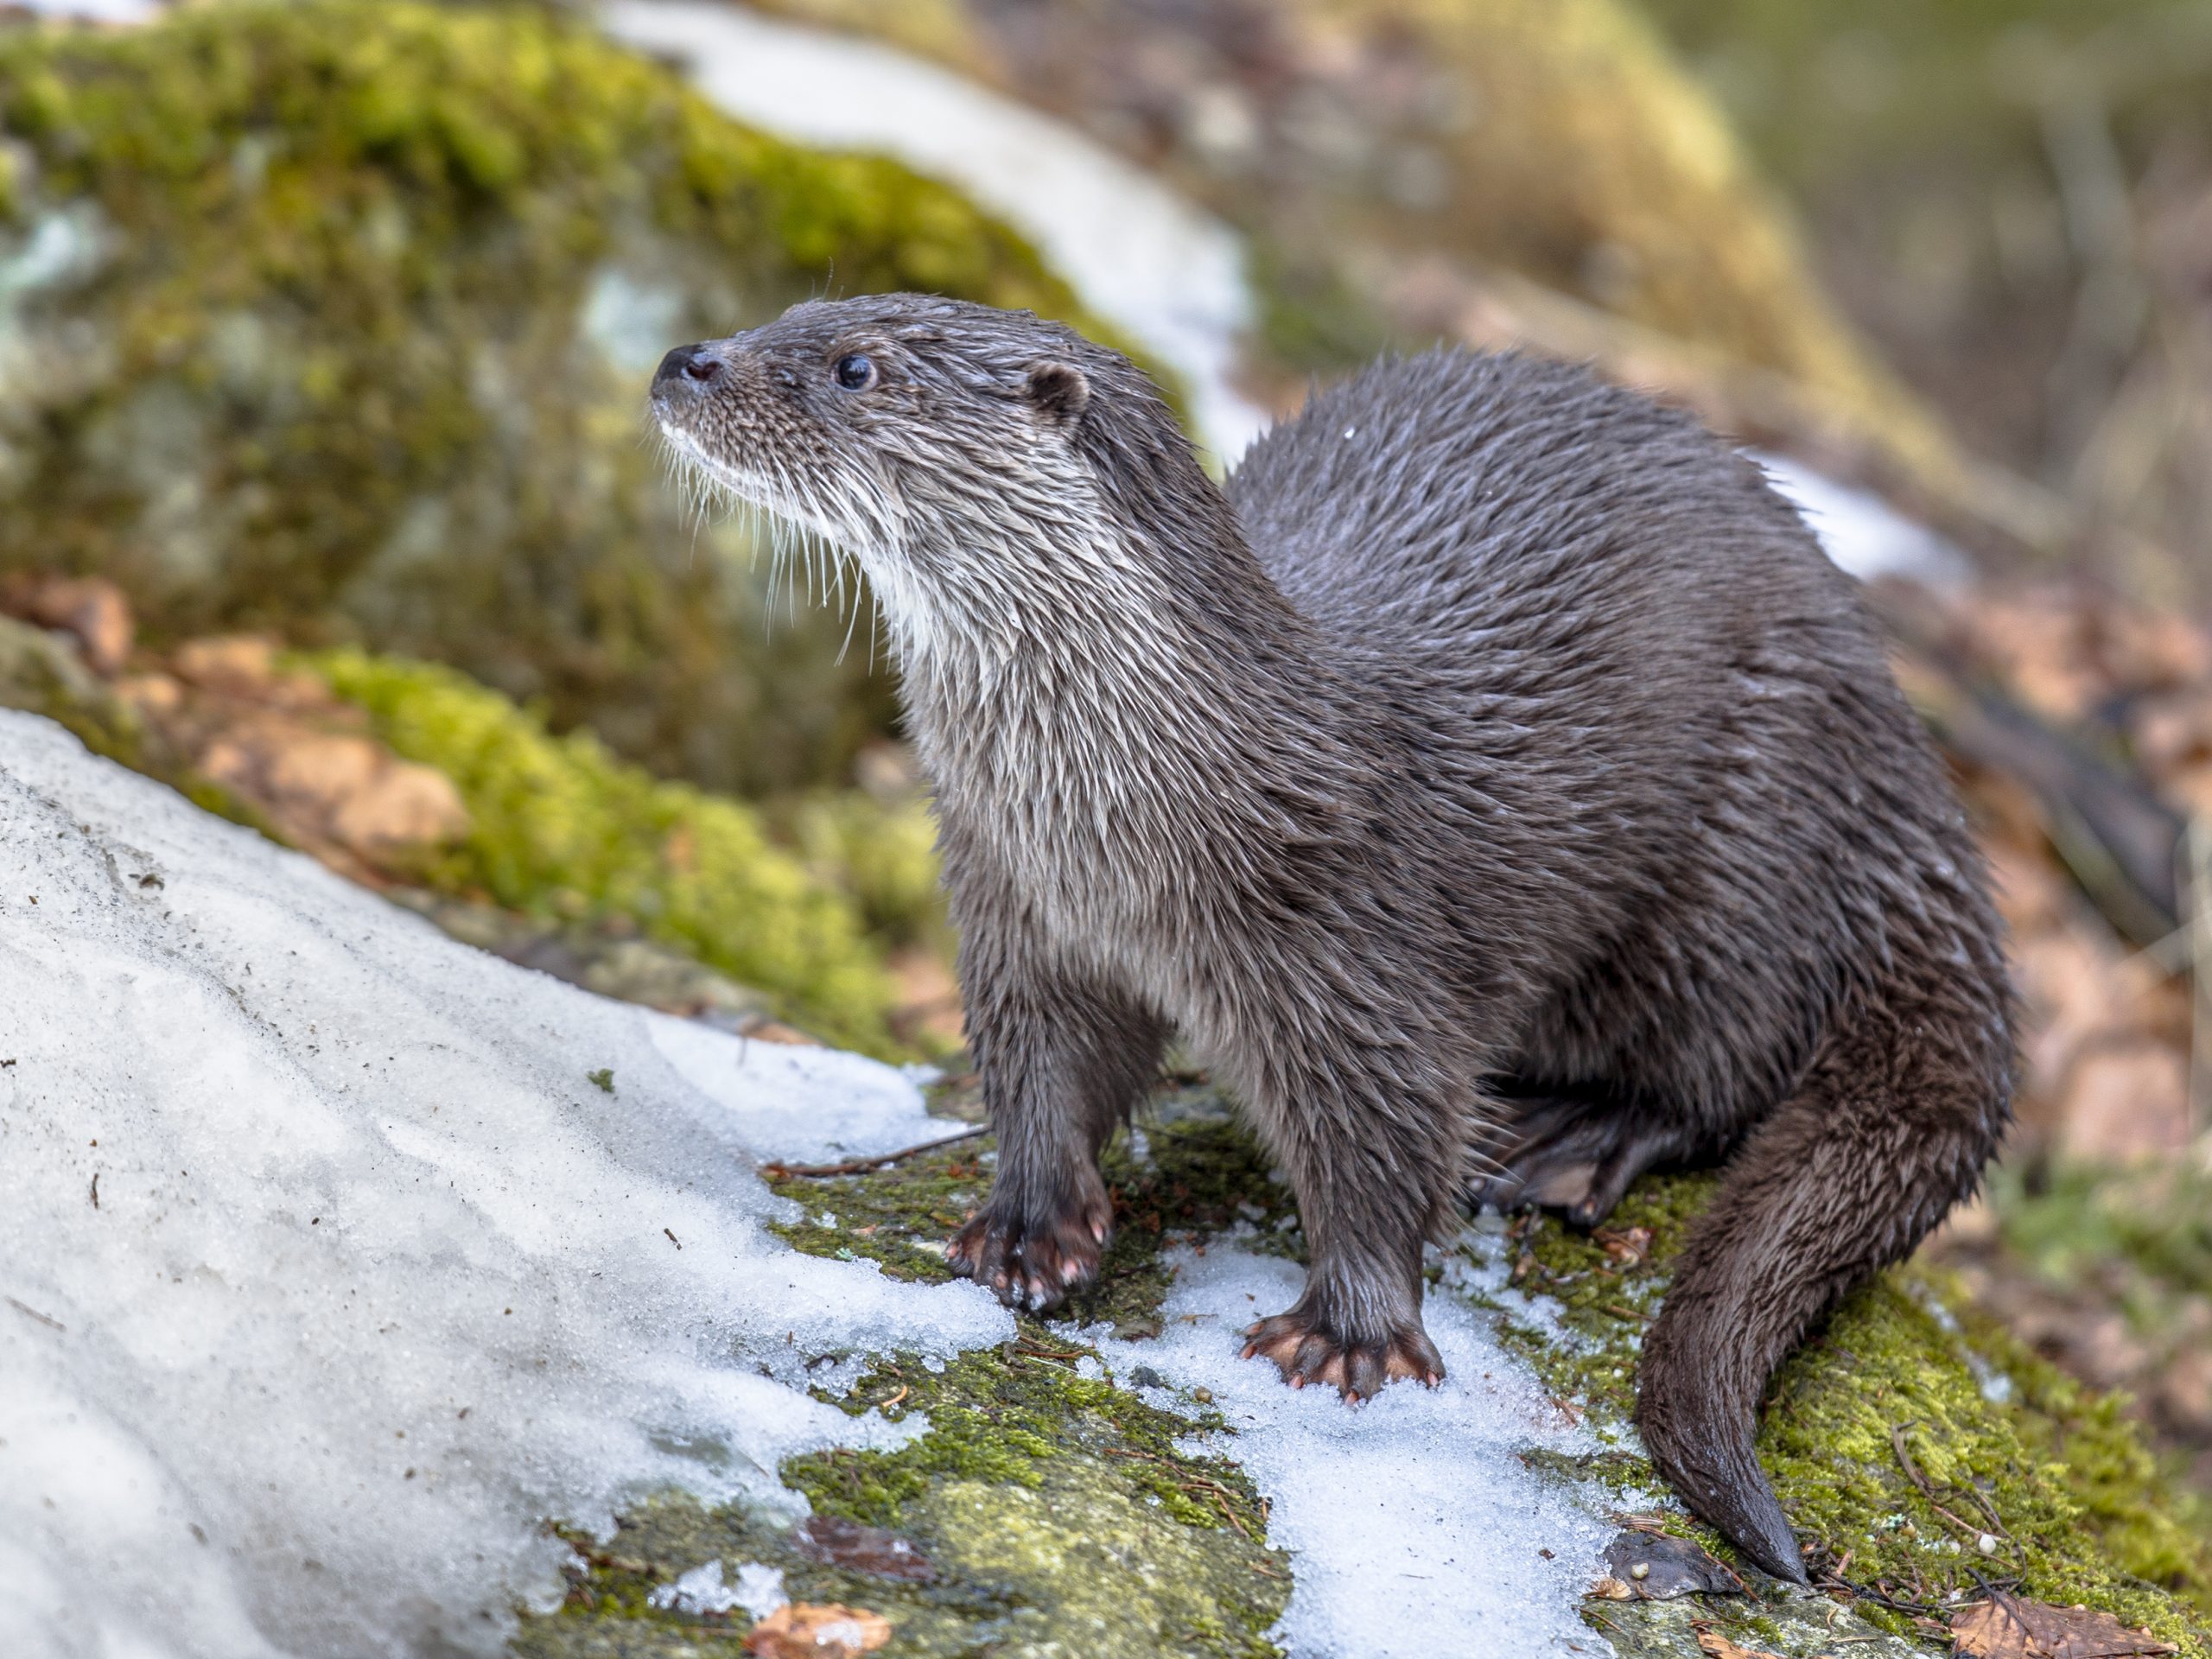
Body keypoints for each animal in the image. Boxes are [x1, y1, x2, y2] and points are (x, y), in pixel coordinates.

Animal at [649, 294, 2013, 1584]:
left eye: (857, 367)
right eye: (786, 315)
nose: (685, 360)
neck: (1135, 821)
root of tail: (1912, 767)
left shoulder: (1356, 949)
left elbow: (1384, 1138)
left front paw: (1346, 1329)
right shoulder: (1017, 913)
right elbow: (1038, 1071)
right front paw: (1034, 1227)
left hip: (1743, 858)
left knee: (1724, 1066)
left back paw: (1575, 1138)